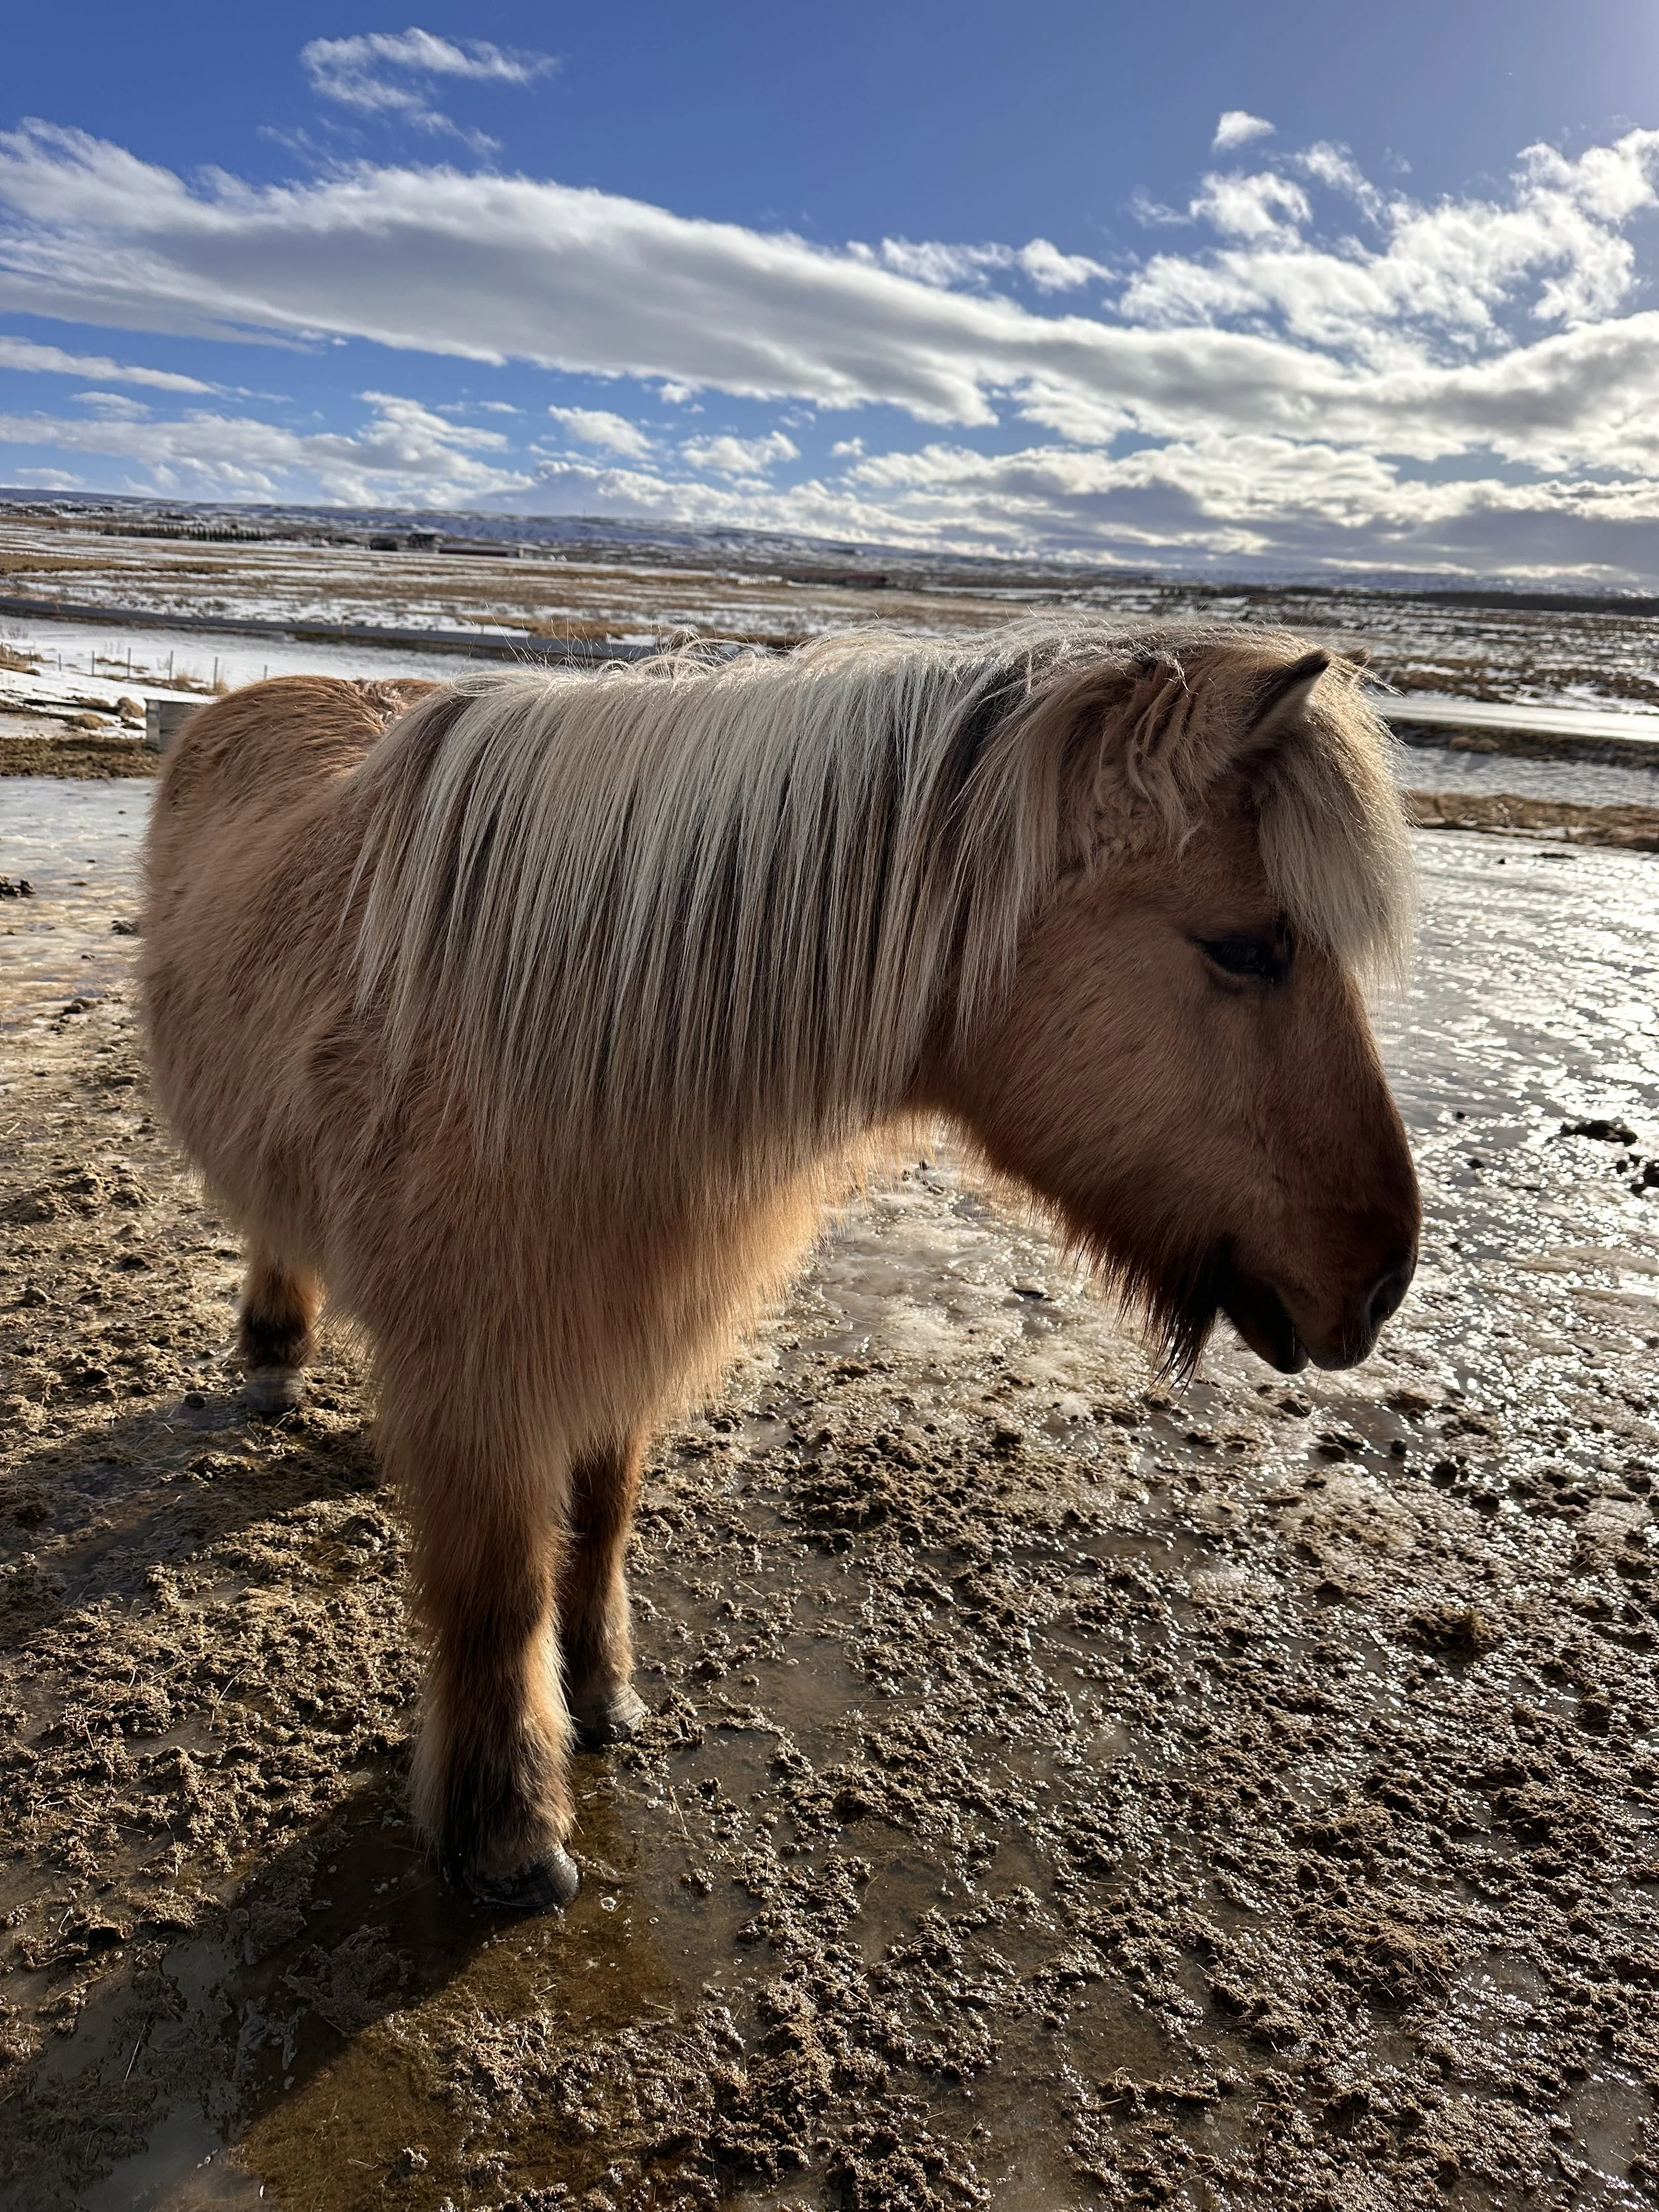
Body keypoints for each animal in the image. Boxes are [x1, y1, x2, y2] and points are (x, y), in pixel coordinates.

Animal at [140, 623, 1420, 1913]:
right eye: (1248, 947)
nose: (1384, 1278)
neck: (570, 1037)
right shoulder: (490, 1374)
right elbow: (497, 1596)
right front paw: (507, 1830)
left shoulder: (624, 1335)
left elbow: (600, 1520)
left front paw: (603, 1692)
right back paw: (274, 1354)